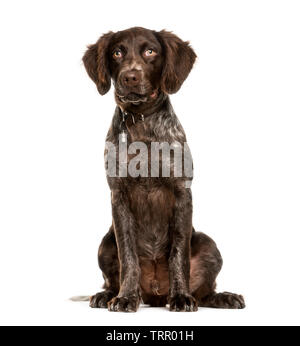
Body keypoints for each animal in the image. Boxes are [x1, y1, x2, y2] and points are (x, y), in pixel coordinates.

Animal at [82, 25, 244, 310]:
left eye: (150, 51)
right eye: (116, 53)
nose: (130, 77)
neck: (142, 122)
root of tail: (155, 294)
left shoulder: (182, 194)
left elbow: (179, 255)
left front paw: (180, 296)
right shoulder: (119, 197)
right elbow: (128, 257)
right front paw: (126, 297)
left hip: (209, 243)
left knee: (205, 291)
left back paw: (224, 296)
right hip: (105, 244)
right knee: (112, 277)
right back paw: (107, 295)